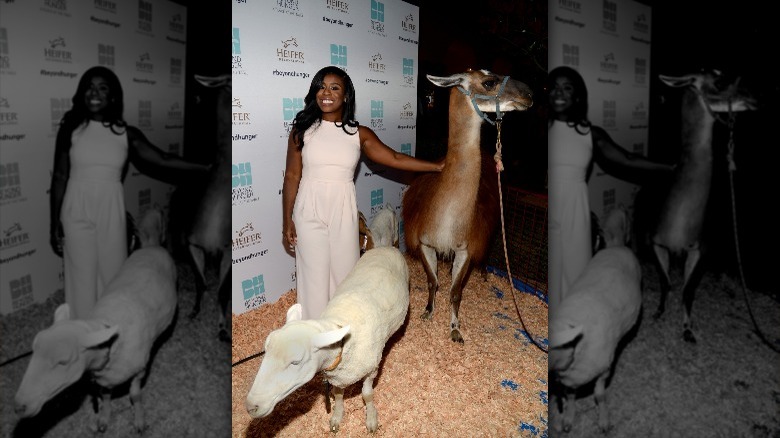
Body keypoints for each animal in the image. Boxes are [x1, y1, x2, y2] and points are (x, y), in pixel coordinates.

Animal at [16, 207, 177, 432]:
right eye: (33, 352)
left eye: (63, 362)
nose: (19, 407)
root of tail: (151, 246)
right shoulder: (103, 380)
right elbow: (106, 396)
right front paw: (103, 419)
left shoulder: (139, 370)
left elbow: (135, 395)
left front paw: (139, 421)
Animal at [247, 245, 412, 432]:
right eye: (266, 350)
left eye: (296, 362)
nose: (251, 407)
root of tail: (386, 246)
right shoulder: (337, 378)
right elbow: (338, 395)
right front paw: (337, 416)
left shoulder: (372, 369)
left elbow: (367, 395)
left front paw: (371, 418)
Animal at [548, 207, 640, 432]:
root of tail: (616, 246)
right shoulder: (568, 382)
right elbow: (571, 397)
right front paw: (568, 419)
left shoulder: (603, 371)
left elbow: (599, 396)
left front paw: (604, 420)